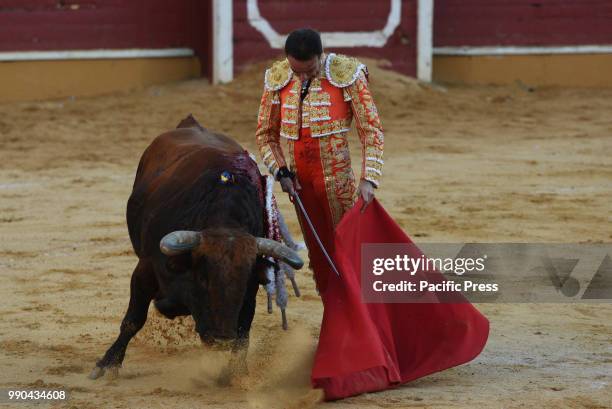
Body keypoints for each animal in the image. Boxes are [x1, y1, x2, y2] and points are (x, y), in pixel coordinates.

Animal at [88, 115, 304, 380]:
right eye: (203, 278)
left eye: (244, 281)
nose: (222, 338)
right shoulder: (144, 270)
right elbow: (133, 319)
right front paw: (107, 364)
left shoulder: (251, 290)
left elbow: (244, 330)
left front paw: (235, 373)